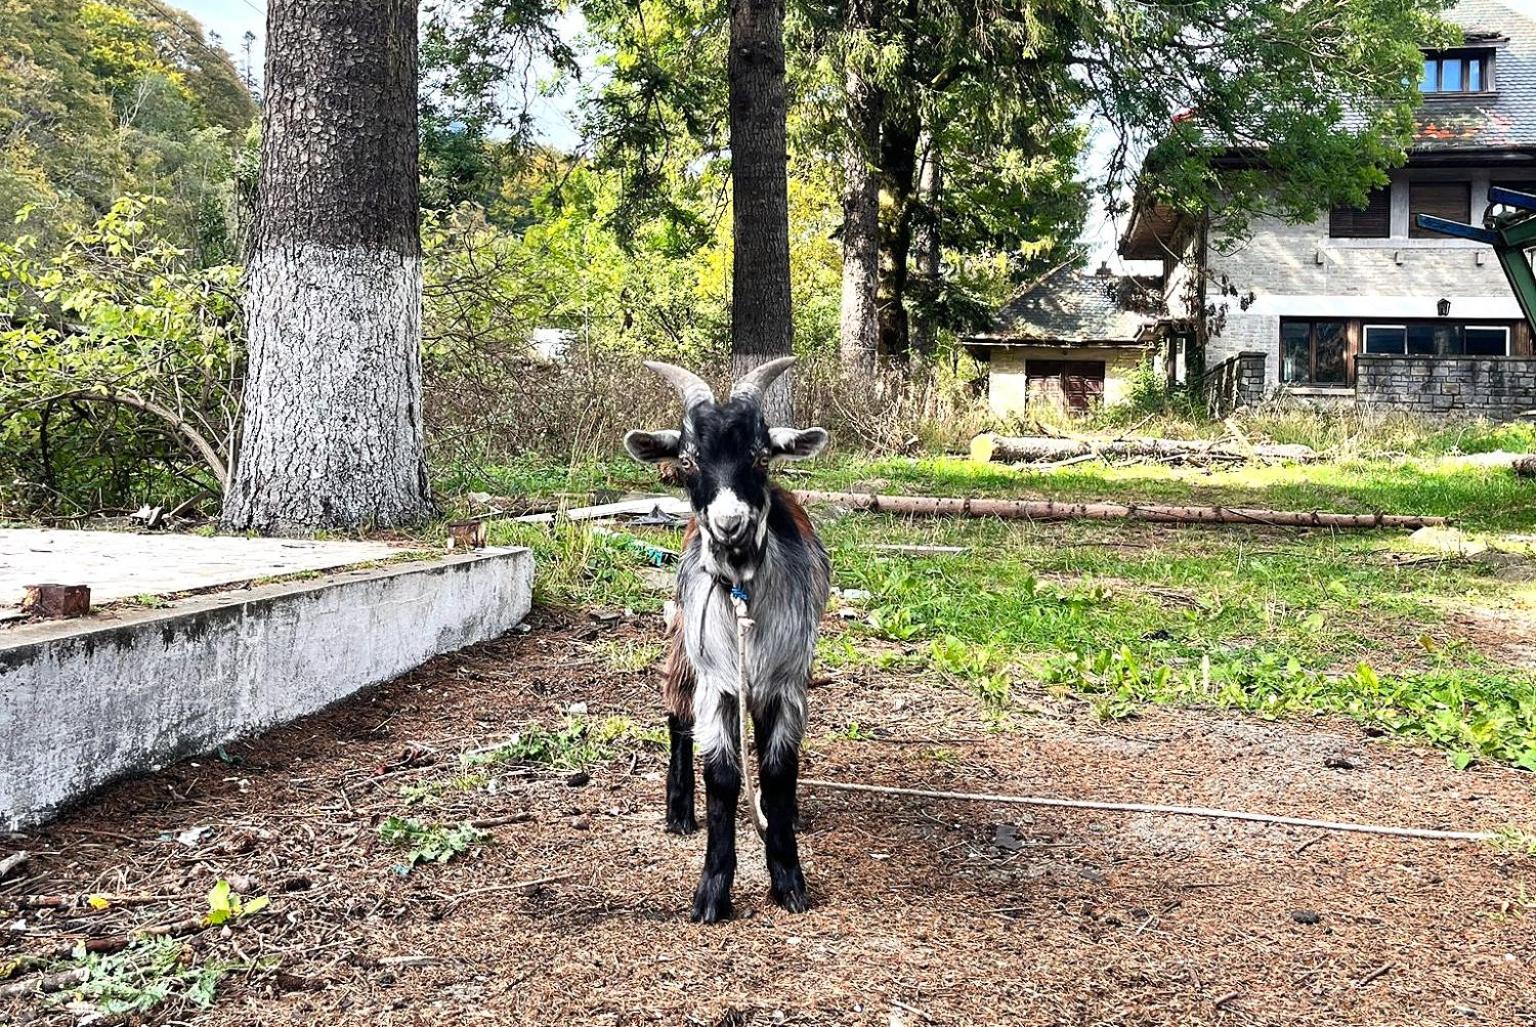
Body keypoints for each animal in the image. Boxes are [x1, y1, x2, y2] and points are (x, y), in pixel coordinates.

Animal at [624, 357, 830, 923]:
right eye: (688, 461)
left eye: (760, 456)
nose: (730, 522)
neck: (741, 587)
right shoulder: (717, 682)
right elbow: (721, 777)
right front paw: (712, 892)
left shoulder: (786, 685)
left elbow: (778, 771)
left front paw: (788, 879)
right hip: (683, 641)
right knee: (676, 714)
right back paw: (678, 809)